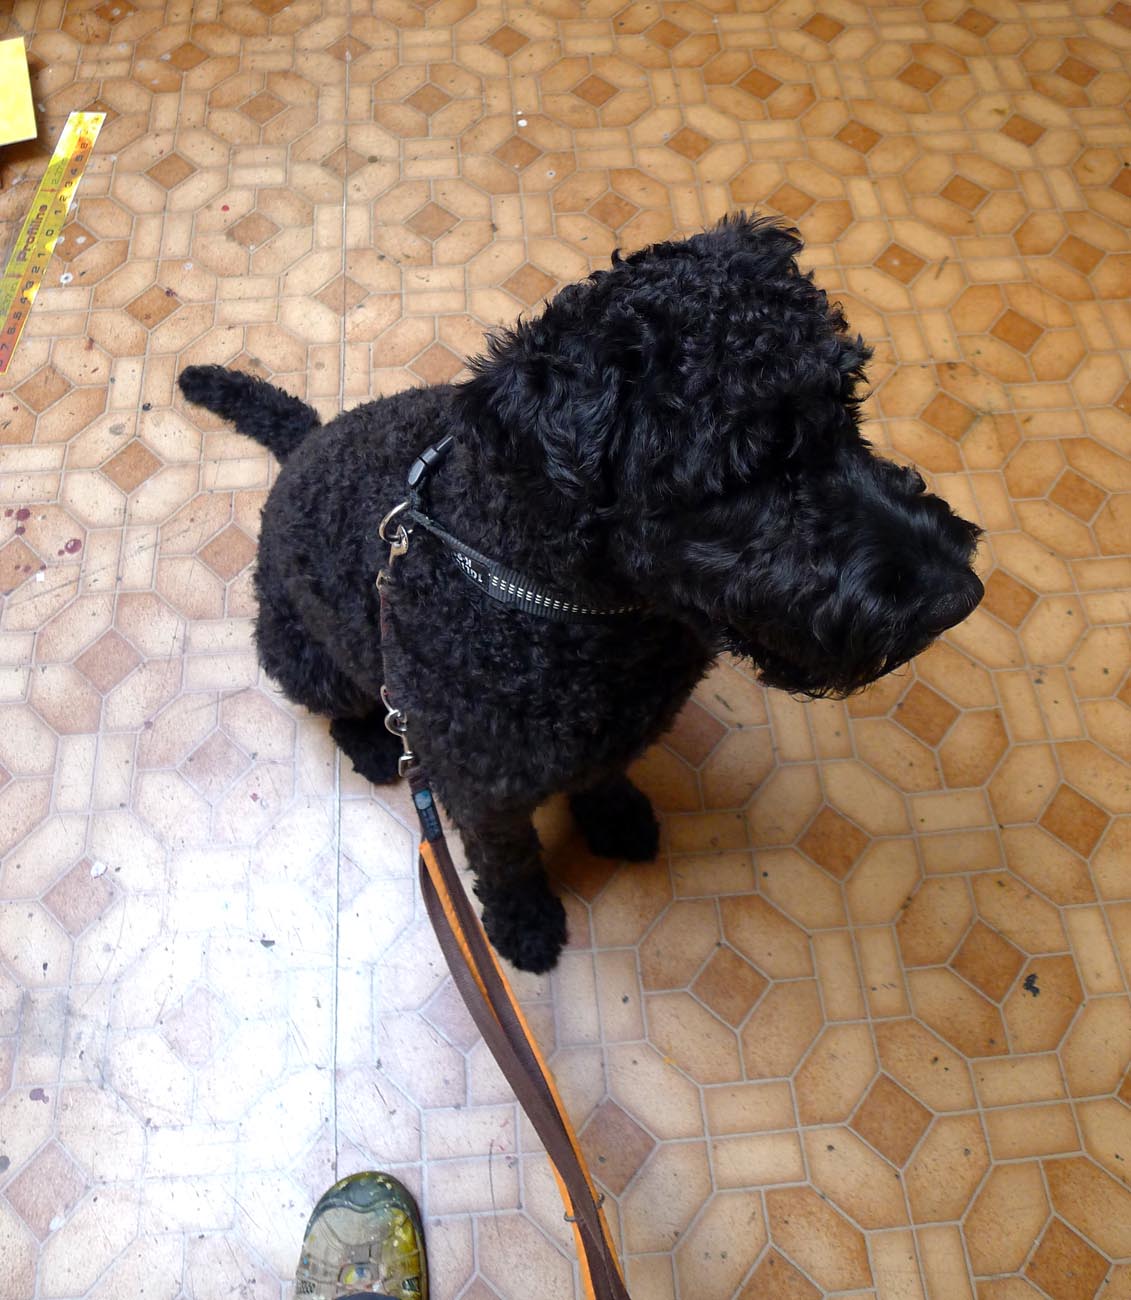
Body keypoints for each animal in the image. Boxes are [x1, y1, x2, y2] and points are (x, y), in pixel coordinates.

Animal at [178, 214, 983, 974]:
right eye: (743, 471)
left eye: (847, 402)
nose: (959, 596)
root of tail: (303, 443)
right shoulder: (482, 793)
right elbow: (506, 862)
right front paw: (523, 925)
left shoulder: (619, 731)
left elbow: (604, 775)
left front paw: (616, 817)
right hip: (300, 651)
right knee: (334, 703)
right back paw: (373, 743)